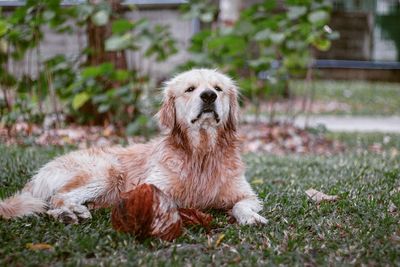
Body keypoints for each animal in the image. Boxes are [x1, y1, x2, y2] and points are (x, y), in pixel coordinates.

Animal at [0, 68, 268, 226]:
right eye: (190, 89)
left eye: (218, 89)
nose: (209, 96)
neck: (201, 152)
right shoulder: (150, 189)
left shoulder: (247, 194)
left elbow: (242, 204)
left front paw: (250, 217)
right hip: (106, 172)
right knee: (56, 198)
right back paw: (69, 213)